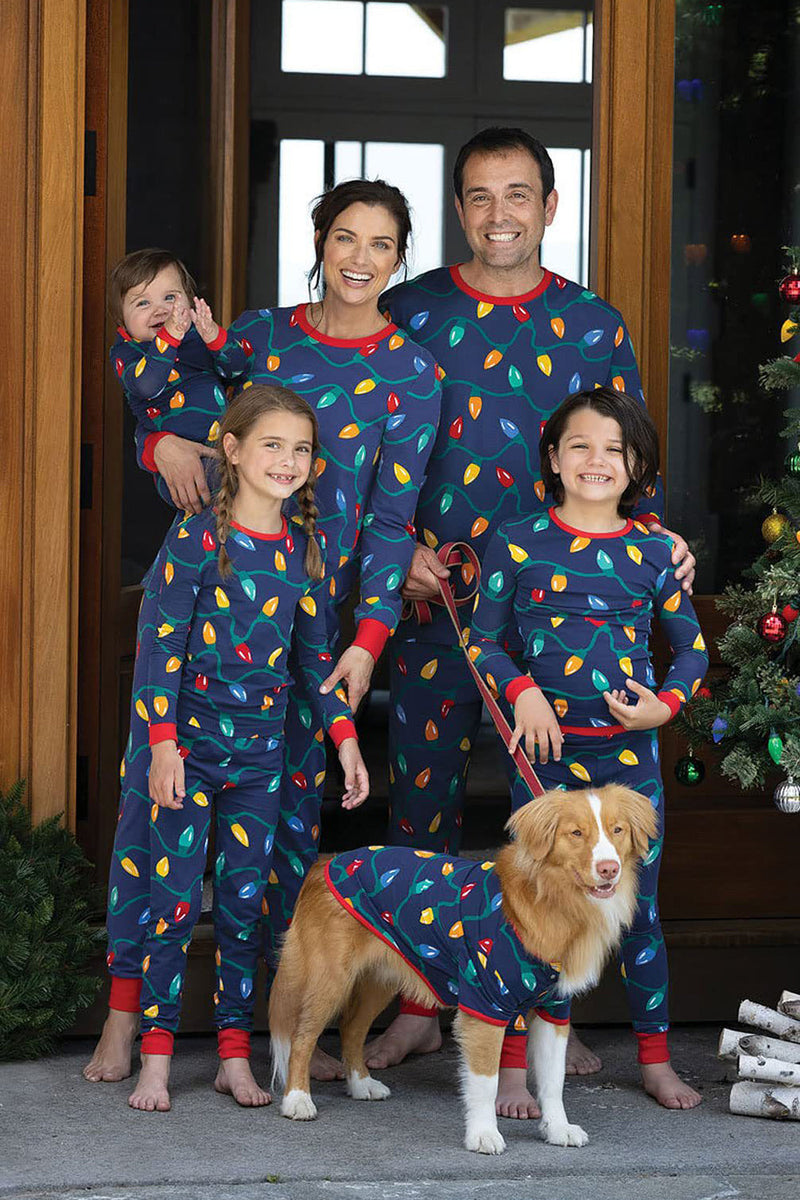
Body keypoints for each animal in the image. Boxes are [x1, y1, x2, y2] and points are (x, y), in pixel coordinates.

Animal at [268, 782, 657, 1156]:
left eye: (617, 830)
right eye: (576, 833)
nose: (609, 869)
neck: (550, 900)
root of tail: (326, 861)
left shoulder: (554, 1011)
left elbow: (553, 1080)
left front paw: (558, 1128)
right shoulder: (484, 1006)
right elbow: (485, 1082)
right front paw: (483, 1134)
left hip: (379, 979)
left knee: (351, 1027)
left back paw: (361, 1083)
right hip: (330, 978)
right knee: (302, 1036)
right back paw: (297, 1099)